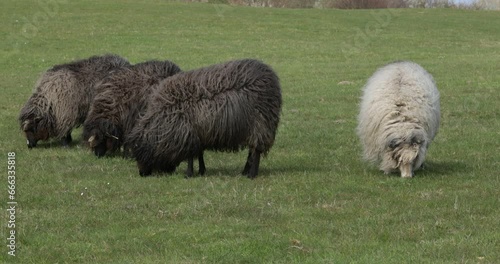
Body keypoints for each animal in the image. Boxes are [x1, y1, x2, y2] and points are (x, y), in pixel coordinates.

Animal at [126, 58, 282, 178]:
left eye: (139, 153)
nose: (141, 174)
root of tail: (271, 77)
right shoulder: (198, 133)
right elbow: (199, 154)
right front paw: (201, 171)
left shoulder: (186, 133)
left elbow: (190, 156)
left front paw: (189, 174)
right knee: (252, 150)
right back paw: (245, 172)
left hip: (261, 125)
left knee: (255, 151)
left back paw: (251, 174)